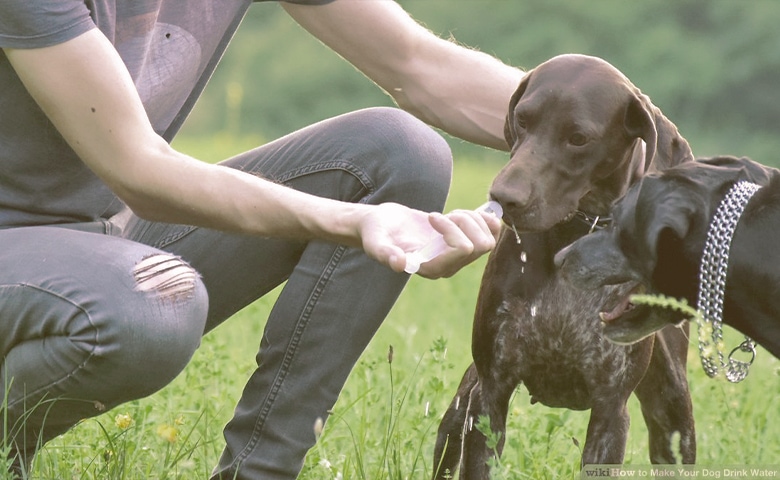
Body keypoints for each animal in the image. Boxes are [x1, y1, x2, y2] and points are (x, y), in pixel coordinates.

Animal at [432, 54, 696, 478]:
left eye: (578, 138)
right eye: (523, 119)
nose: (503, 198)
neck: (572, 237)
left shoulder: (610, 412)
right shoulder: (491, 394)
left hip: (673, 414)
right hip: (459, 415)